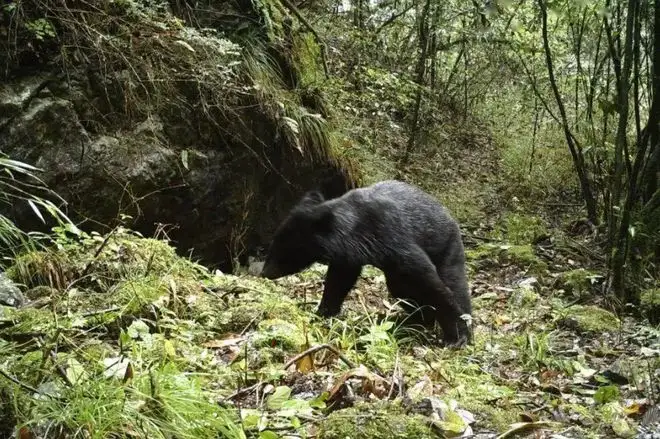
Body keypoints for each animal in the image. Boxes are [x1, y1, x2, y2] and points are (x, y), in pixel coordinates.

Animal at [260, 180, 472, 348]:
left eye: (283, 249)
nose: (265, 272)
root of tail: (451, 217)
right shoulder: (348, 258)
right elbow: (338, 283)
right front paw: (321, 314)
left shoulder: (394, 241)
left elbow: (430, 282)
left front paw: (458, 336)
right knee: (401, 289)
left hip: (447, 247)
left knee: (454, 282)